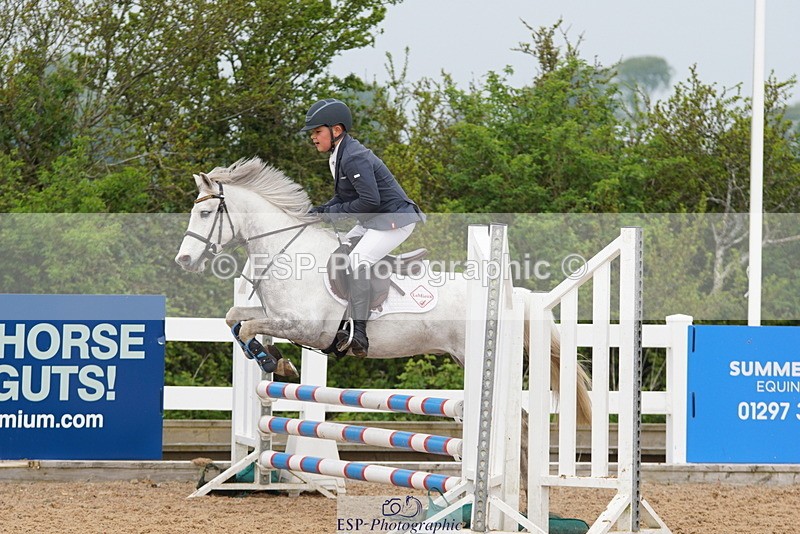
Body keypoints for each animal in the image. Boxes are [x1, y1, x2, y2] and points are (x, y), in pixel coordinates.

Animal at [174, 157, 591, 424]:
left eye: (206, 213)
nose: (184, 260)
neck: (285, 251)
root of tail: (509, 296)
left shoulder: (307, 328)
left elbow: (246, 327)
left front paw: (273, 361)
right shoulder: (279, 317)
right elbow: (236, 319)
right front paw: (274, 360)